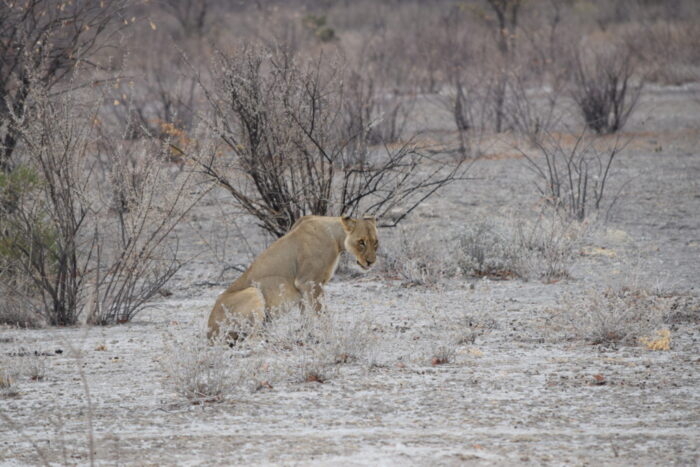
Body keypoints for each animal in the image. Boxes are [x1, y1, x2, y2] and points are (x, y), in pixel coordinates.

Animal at [207, 215, 379, 342]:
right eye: (361, 242)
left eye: (375, 242)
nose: (371, 262)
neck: (336, 239)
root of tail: (209, 333)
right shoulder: (310, 282)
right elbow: (322, 314)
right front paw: (332, 336)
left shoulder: (303, 288)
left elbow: (306, 316)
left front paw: (307, 337)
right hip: (253, 291)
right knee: (250, 338)